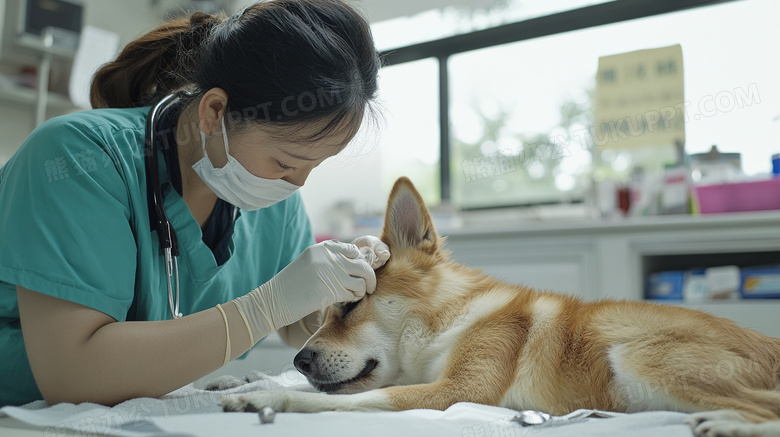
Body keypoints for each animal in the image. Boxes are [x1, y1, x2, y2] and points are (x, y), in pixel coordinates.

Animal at [222, 175, 780, 434]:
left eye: (348, 307)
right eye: (323, 312)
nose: (299, 358)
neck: (448, 324)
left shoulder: (457, 391)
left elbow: (353, 399)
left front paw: (272, 398)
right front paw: (249, 381)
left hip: (639, 356)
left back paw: (729, 424)